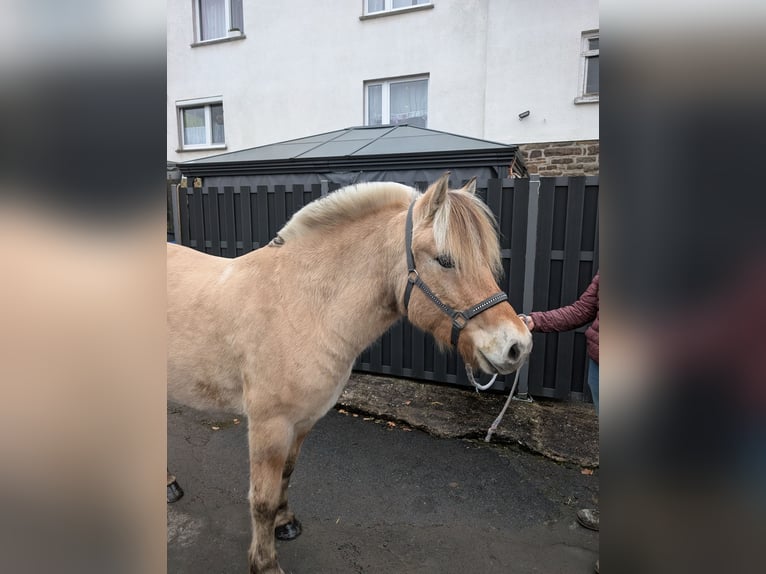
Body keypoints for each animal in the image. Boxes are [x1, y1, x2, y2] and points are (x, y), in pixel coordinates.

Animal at [170, 173, 536, 572]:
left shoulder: (302, 422)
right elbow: (262, 499)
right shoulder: (270, 425)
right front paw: (265, 563)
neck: (300, 304)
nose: (517, 346)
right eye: (445, 260)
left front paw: (286, 523)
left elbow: (286, 475)